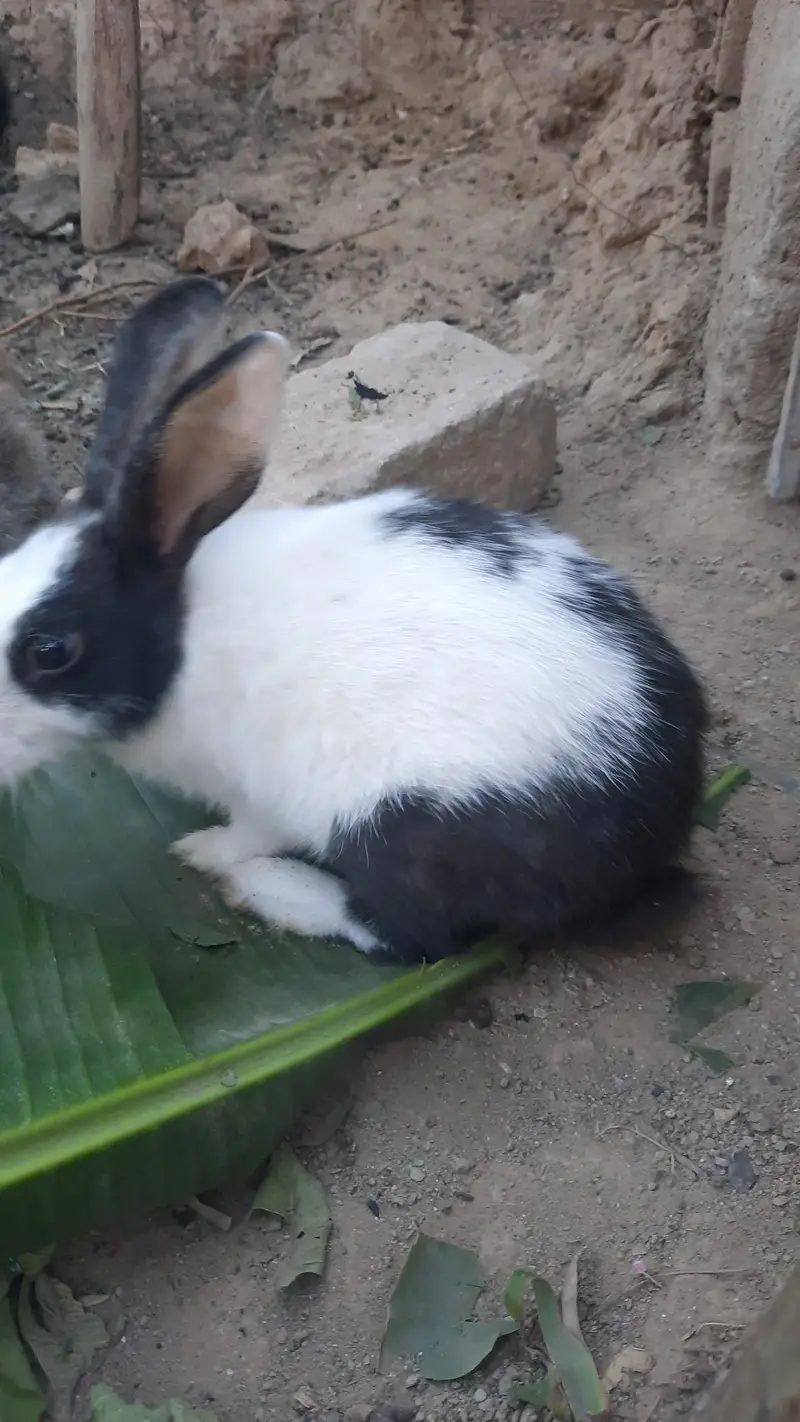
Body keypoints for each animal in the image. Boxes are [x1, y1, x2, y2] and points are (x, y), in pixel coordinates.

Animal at [0, 275, 708, 964]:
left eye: (52, 650)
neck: (181, 642)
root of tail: (660, 810)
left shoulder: (260, 794)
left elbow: (246, 834)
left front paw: (202, 852)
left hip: (397, 826)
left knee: (409, 937)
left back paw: (270, 890)